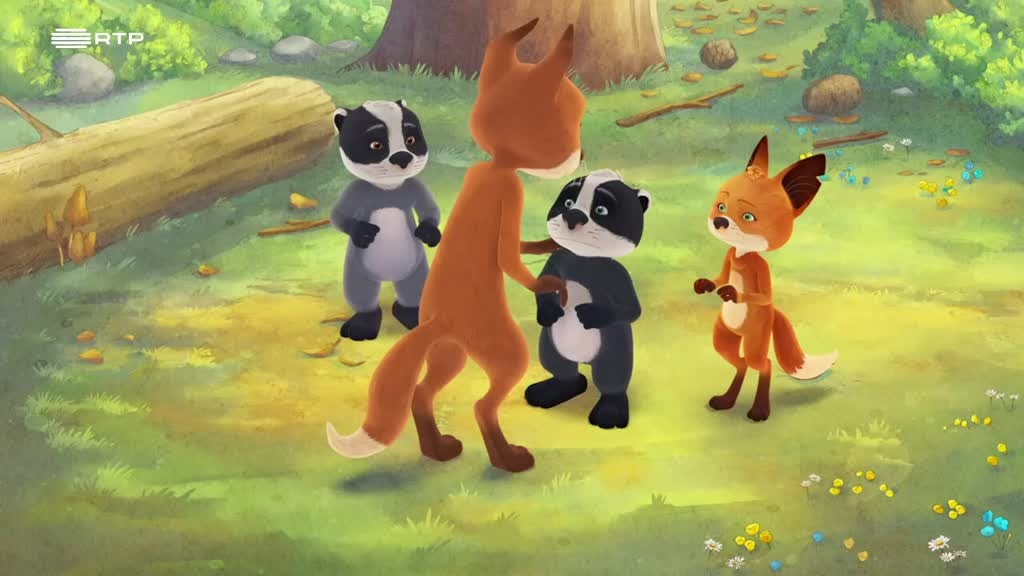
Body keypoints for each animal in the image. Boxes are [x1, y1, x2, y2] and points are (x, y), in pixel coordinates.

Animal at [325, 18, 584, 473]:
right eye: (572, 119)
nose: (581, 152)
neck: (497, 164)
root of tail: (439, 322)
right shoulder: (509, 194)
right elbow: (508, 257)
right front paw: (546, 284)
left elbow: (519, 247)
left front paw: (542, 243)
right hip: (503, 352)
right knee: (483, 404)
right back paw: (506, 459)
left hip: (449, 354)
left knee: (421, 392)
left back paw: (437, 449)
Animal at [694, 136, 838, 422]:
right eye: (721, 206)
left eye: (748, 217)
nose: (720, 221)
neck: (741, 254)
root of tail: (773, 314)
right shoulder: (729, 256)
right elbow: (720, 278)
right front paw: (706, 285)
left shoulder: (761, 269)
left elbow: (760, 294)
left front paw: (732, 293)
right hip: (724, 337)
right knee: (739, 362)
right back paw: (726, 400)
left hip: (755, 338)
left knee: (762, 364)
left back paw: (759, 410)